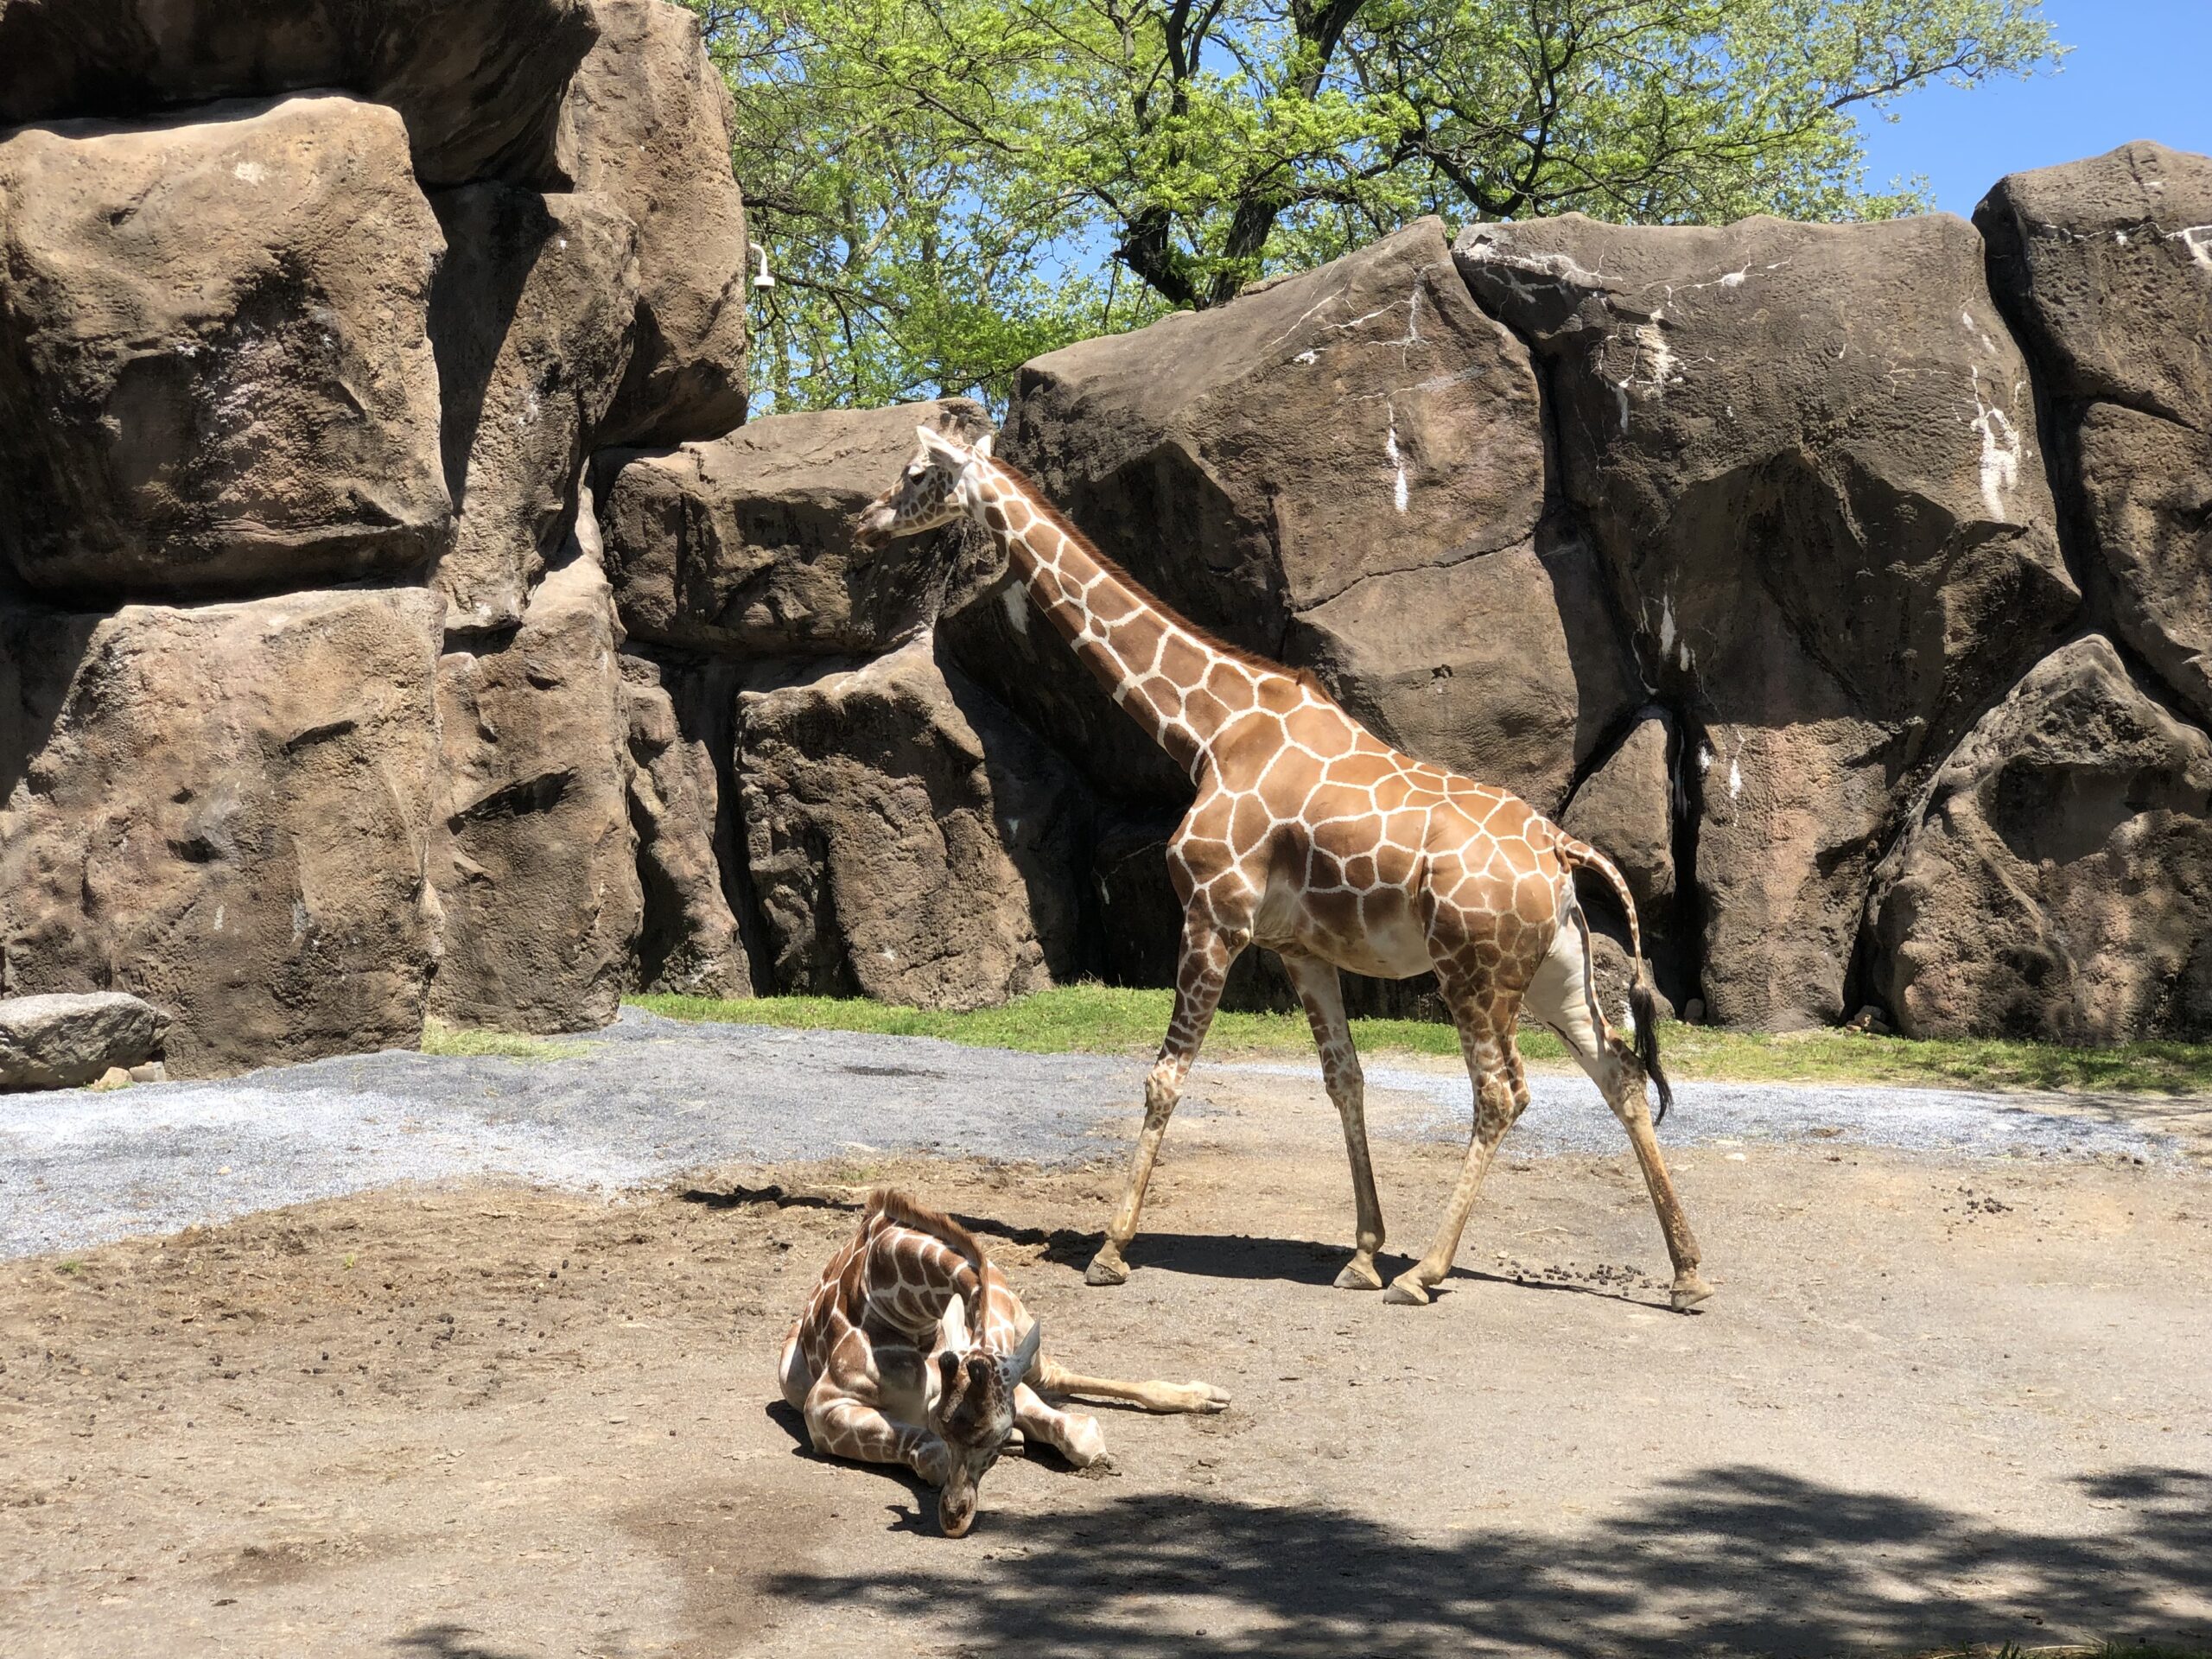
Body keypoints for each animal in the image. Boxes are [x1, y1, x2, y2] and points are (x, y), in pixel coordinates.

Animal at [779, 1188, 1230, 1536]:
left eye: (992, 1436)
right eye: (942, 1425)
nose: (954, 1522)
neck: (903, 1306)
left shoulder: (1008, 1378)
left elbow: (1079, 1431)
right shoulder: (823, 1408)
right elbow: (932, 1453)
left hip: (1027, 1341)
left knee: (1064, 1376)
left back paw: (1206, 1396)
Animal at [856, 422, 1713, 1313]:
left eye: (916, 474)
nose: (862, 526)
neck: (1209, 729)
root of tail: (1558, 847)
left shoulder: (1213, 915)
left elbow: (1165, 1077)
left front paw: (1112, 1250)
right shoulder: (1298, 948)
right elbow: (1346, 1080)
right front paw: (1363, 1254)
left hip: (1472, 970)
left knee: (1502, 1091)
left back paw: (1429, 1274)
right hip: (1553, 970)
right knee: (1620, 1073)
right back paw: (1686, 1275)